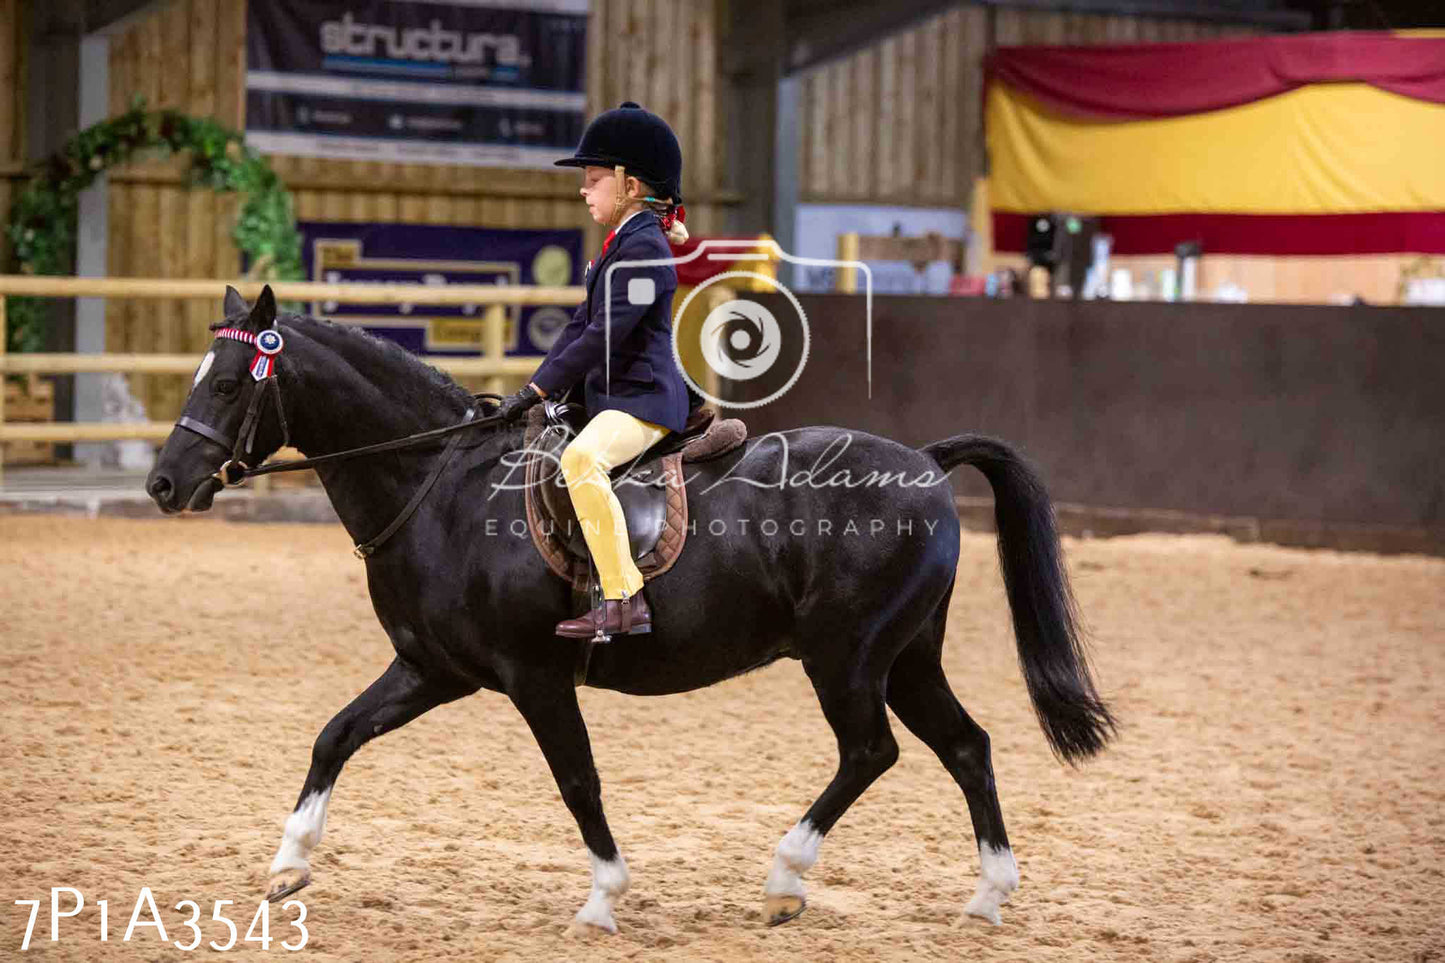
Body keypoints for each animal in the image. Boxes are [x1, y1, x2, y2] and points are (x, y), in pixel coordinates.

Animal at [146, 284, 1115, 931]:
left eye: (228, 384)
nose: (163, 484)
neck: (439, 485)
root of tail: (921, 460)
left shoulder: (534, 676)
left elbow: (577, 779)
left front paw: (603, 897)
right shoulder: (431, 668)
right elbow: (335, 735)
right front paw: (286, 866)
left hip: (847, 655)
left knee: (871, 750)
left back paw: (786, 876)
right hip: (906, 654)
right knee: (965, 746)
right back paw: (986, 893)